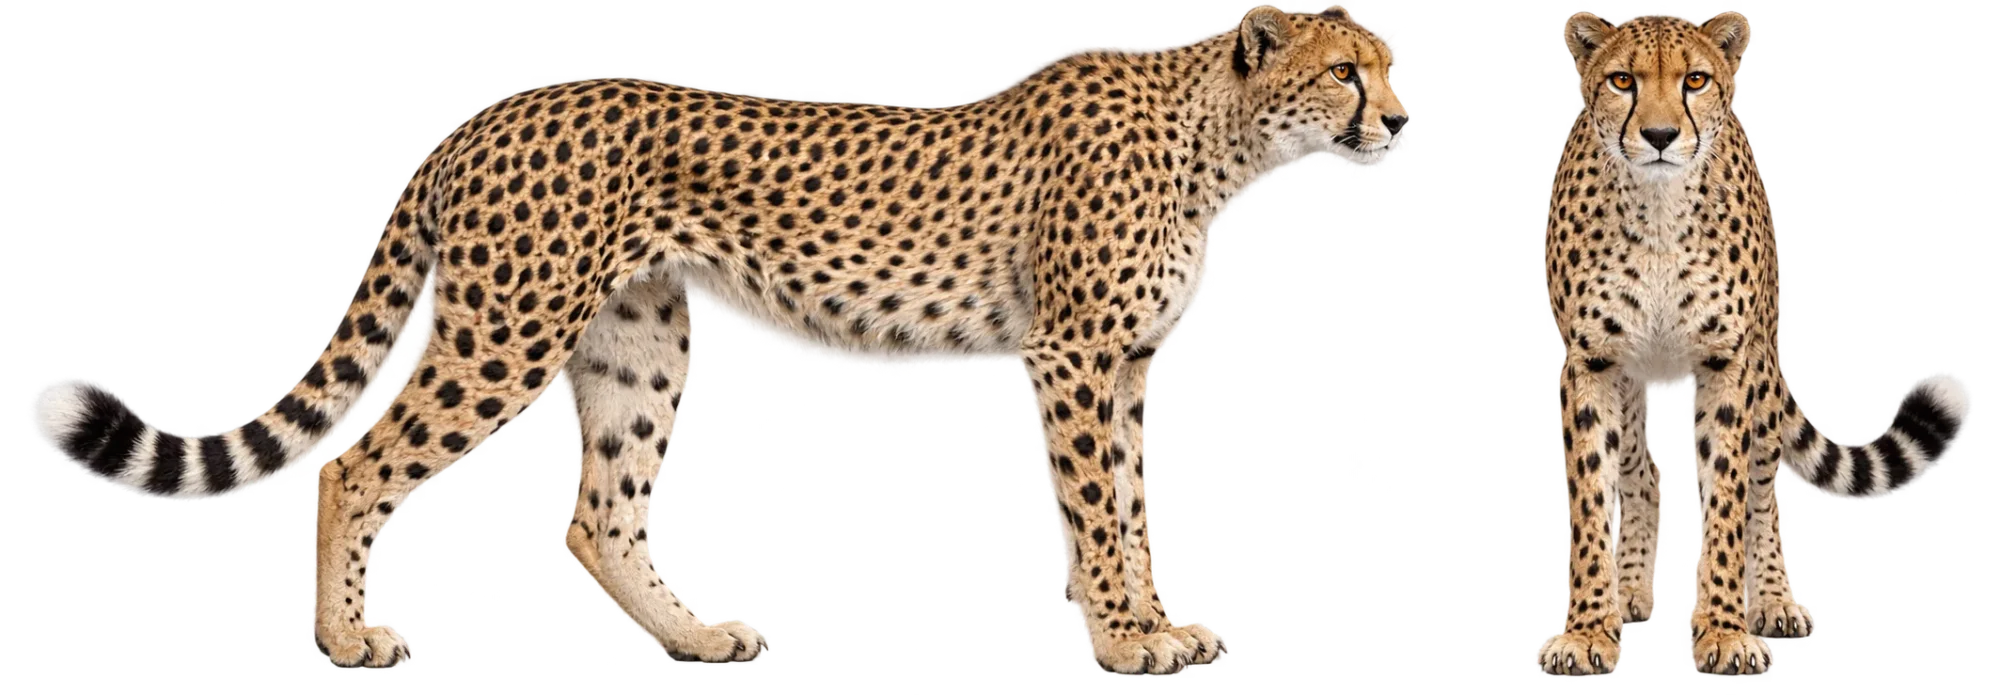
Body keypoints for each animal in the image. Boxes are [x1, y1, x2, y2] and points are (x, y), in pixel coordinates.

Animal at [26, 2, 1407, 676]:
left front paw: (1160, 622)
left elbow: (1131, 503)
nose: (1398, 121)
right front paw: (1124, 638)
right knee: (354, 466)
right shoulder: (1072, 355)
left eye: (1394, 70)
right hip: (503, 328)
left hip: (635, 342)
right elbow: (1097, 512)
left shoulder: (1120, 364)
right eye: (1344, 73)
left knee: (598, 511)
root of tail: (484, 111)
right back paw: (348, 638)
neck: (1225, 137)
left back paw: (697, 638)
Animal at [1534, 8, 1972, 679]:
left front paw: (1722, 629)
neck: (1658, 208)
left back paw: (1772, 600)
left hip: (1764, 364)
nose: (1659, 135)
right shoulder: (1591, 362)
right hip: (1634, 380)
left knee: (1766, 488)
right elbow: (1589, 496)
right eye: (1621, 81)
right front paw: (1587, 629)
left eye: (1694, 80)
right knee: (1643, 473)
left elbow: (1728, 497)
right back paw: (1630, 590)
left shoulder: (1727, 361)